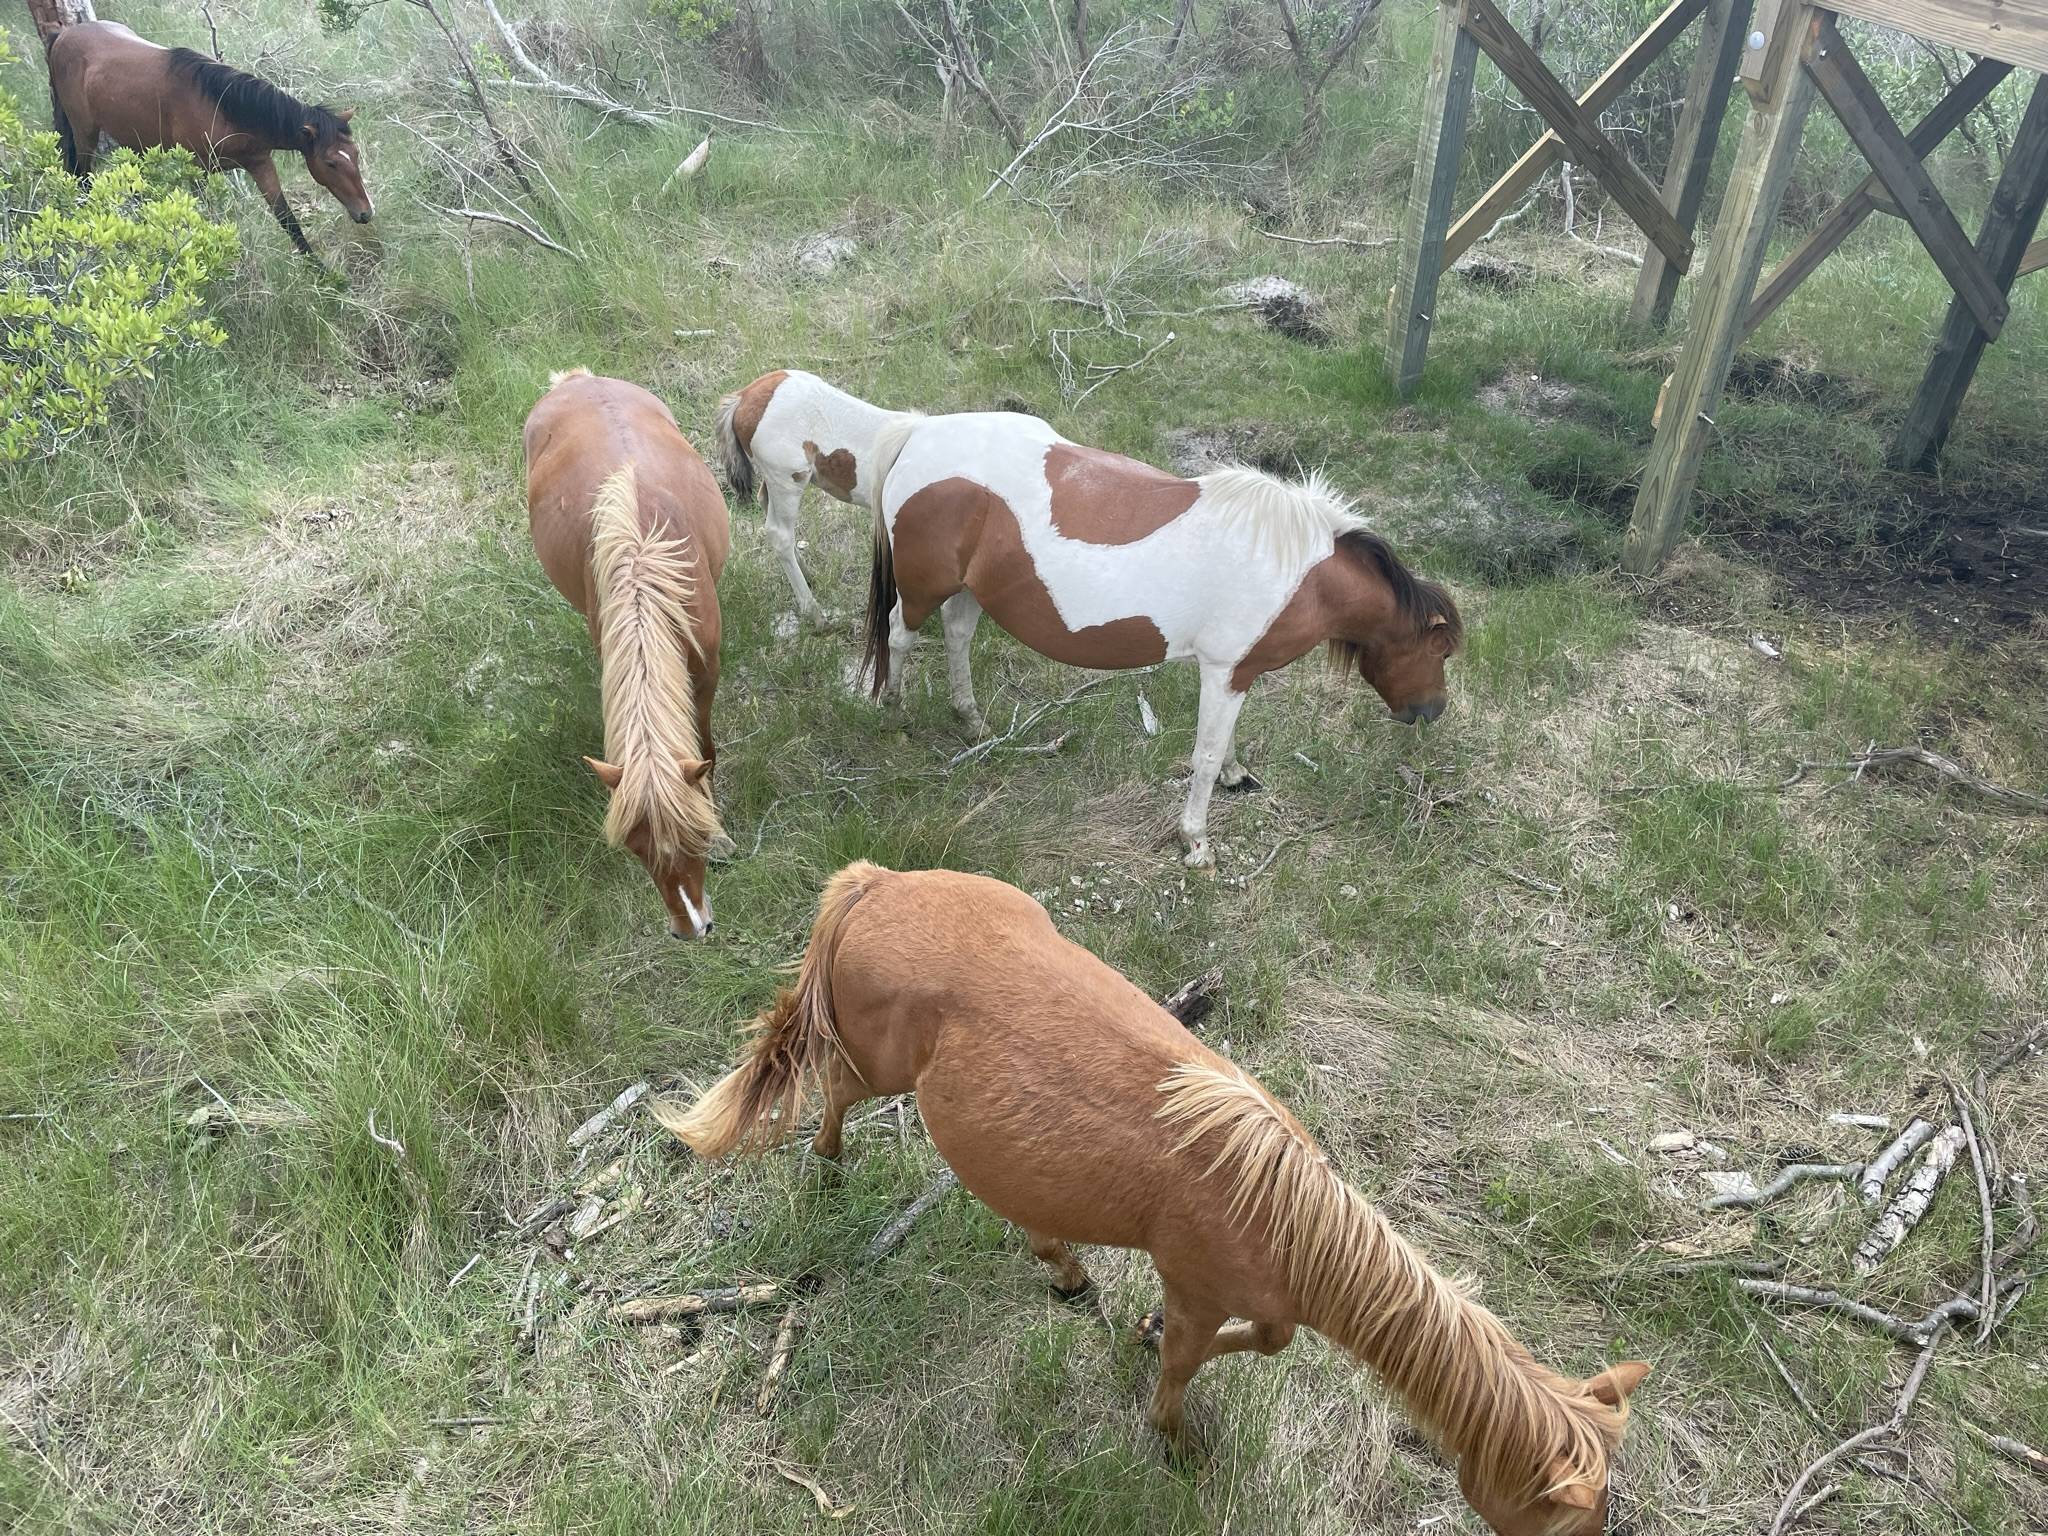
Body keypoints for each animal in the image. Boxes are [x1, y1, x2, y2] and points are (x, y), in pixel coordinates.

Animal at [42, 20, 372, 257]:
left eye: (355, 154)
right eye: (330, 163)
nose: (365, 213)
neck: (223, 108)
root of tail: (62, 35)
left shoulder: (260, 165)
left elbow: (288, 220)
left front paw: (323, 276)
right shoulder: (198, 173)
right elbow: (206, 221)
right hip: (84, 133)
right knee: (82, 176)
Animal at [524, 369, 731, 940]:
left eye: (695, 839)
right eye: (637, 853)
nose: (690, 929)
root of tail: (578, 381)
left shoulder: (706, 676)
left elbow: (705, 746)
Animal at [656, 863, 1649, 1536]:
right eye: (1566, 1518)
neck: (1280, 1213)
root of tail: (880, 881)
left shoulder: (1251, 1295)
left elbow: (1268, 1339)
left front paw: (1135, 1330)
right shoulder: (1200, 1286)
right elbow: (1184, 1364)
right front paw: (1173, 1442)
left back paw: (1063, 1268)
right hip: (876, 1063)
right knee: (829, 1090)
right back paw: (828, 1167)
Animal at [714, 369, 915, 632]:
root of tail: (743, 397)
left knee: (766, 505)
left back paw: (809, 576)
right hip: (788, 482)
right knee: (780, 535)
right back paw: (816, 615)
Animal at [859, 412, 1462, 868]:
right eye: (1440, 650)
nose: (1432, 709)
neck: (1299, 571)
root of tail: (919, 430)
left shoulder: (1234, 675)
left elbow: (1224, 744)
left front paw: (1237, 778)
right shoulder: (1225, 670)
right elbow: (1206, 753)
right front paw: (1196, 841)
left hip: (970, 589)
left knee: (957, 634)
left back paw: (972, 721)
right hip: (925, 588)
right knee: (900, 635)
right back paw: (893, 713)